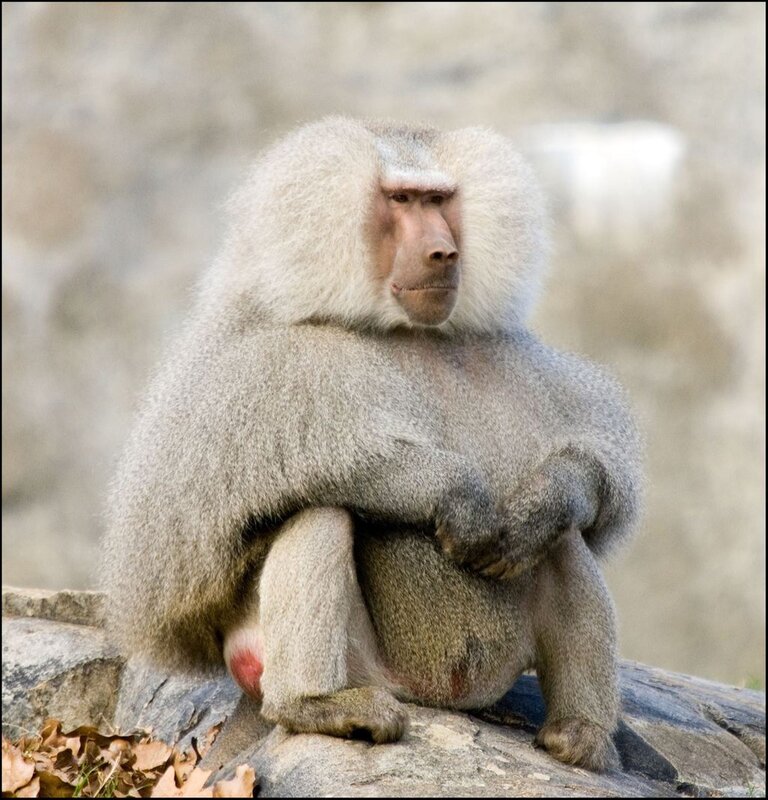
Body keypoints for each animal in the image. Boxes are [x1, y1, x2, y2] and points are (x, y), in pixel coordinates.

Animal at [101, 117, 641, 772]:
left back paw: (581, 735)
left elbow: (593, 473)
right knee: (320, 508)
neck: (408, 333)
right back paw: (319, 706)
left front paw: (538, 505)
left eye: (439, 200)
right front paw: (461, 498)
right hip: (356, 669)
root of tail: (438, 696)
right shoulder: (259, 367)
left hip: (494, 673)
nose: (443, 253)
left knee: (563, 541)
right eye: (401, 199)